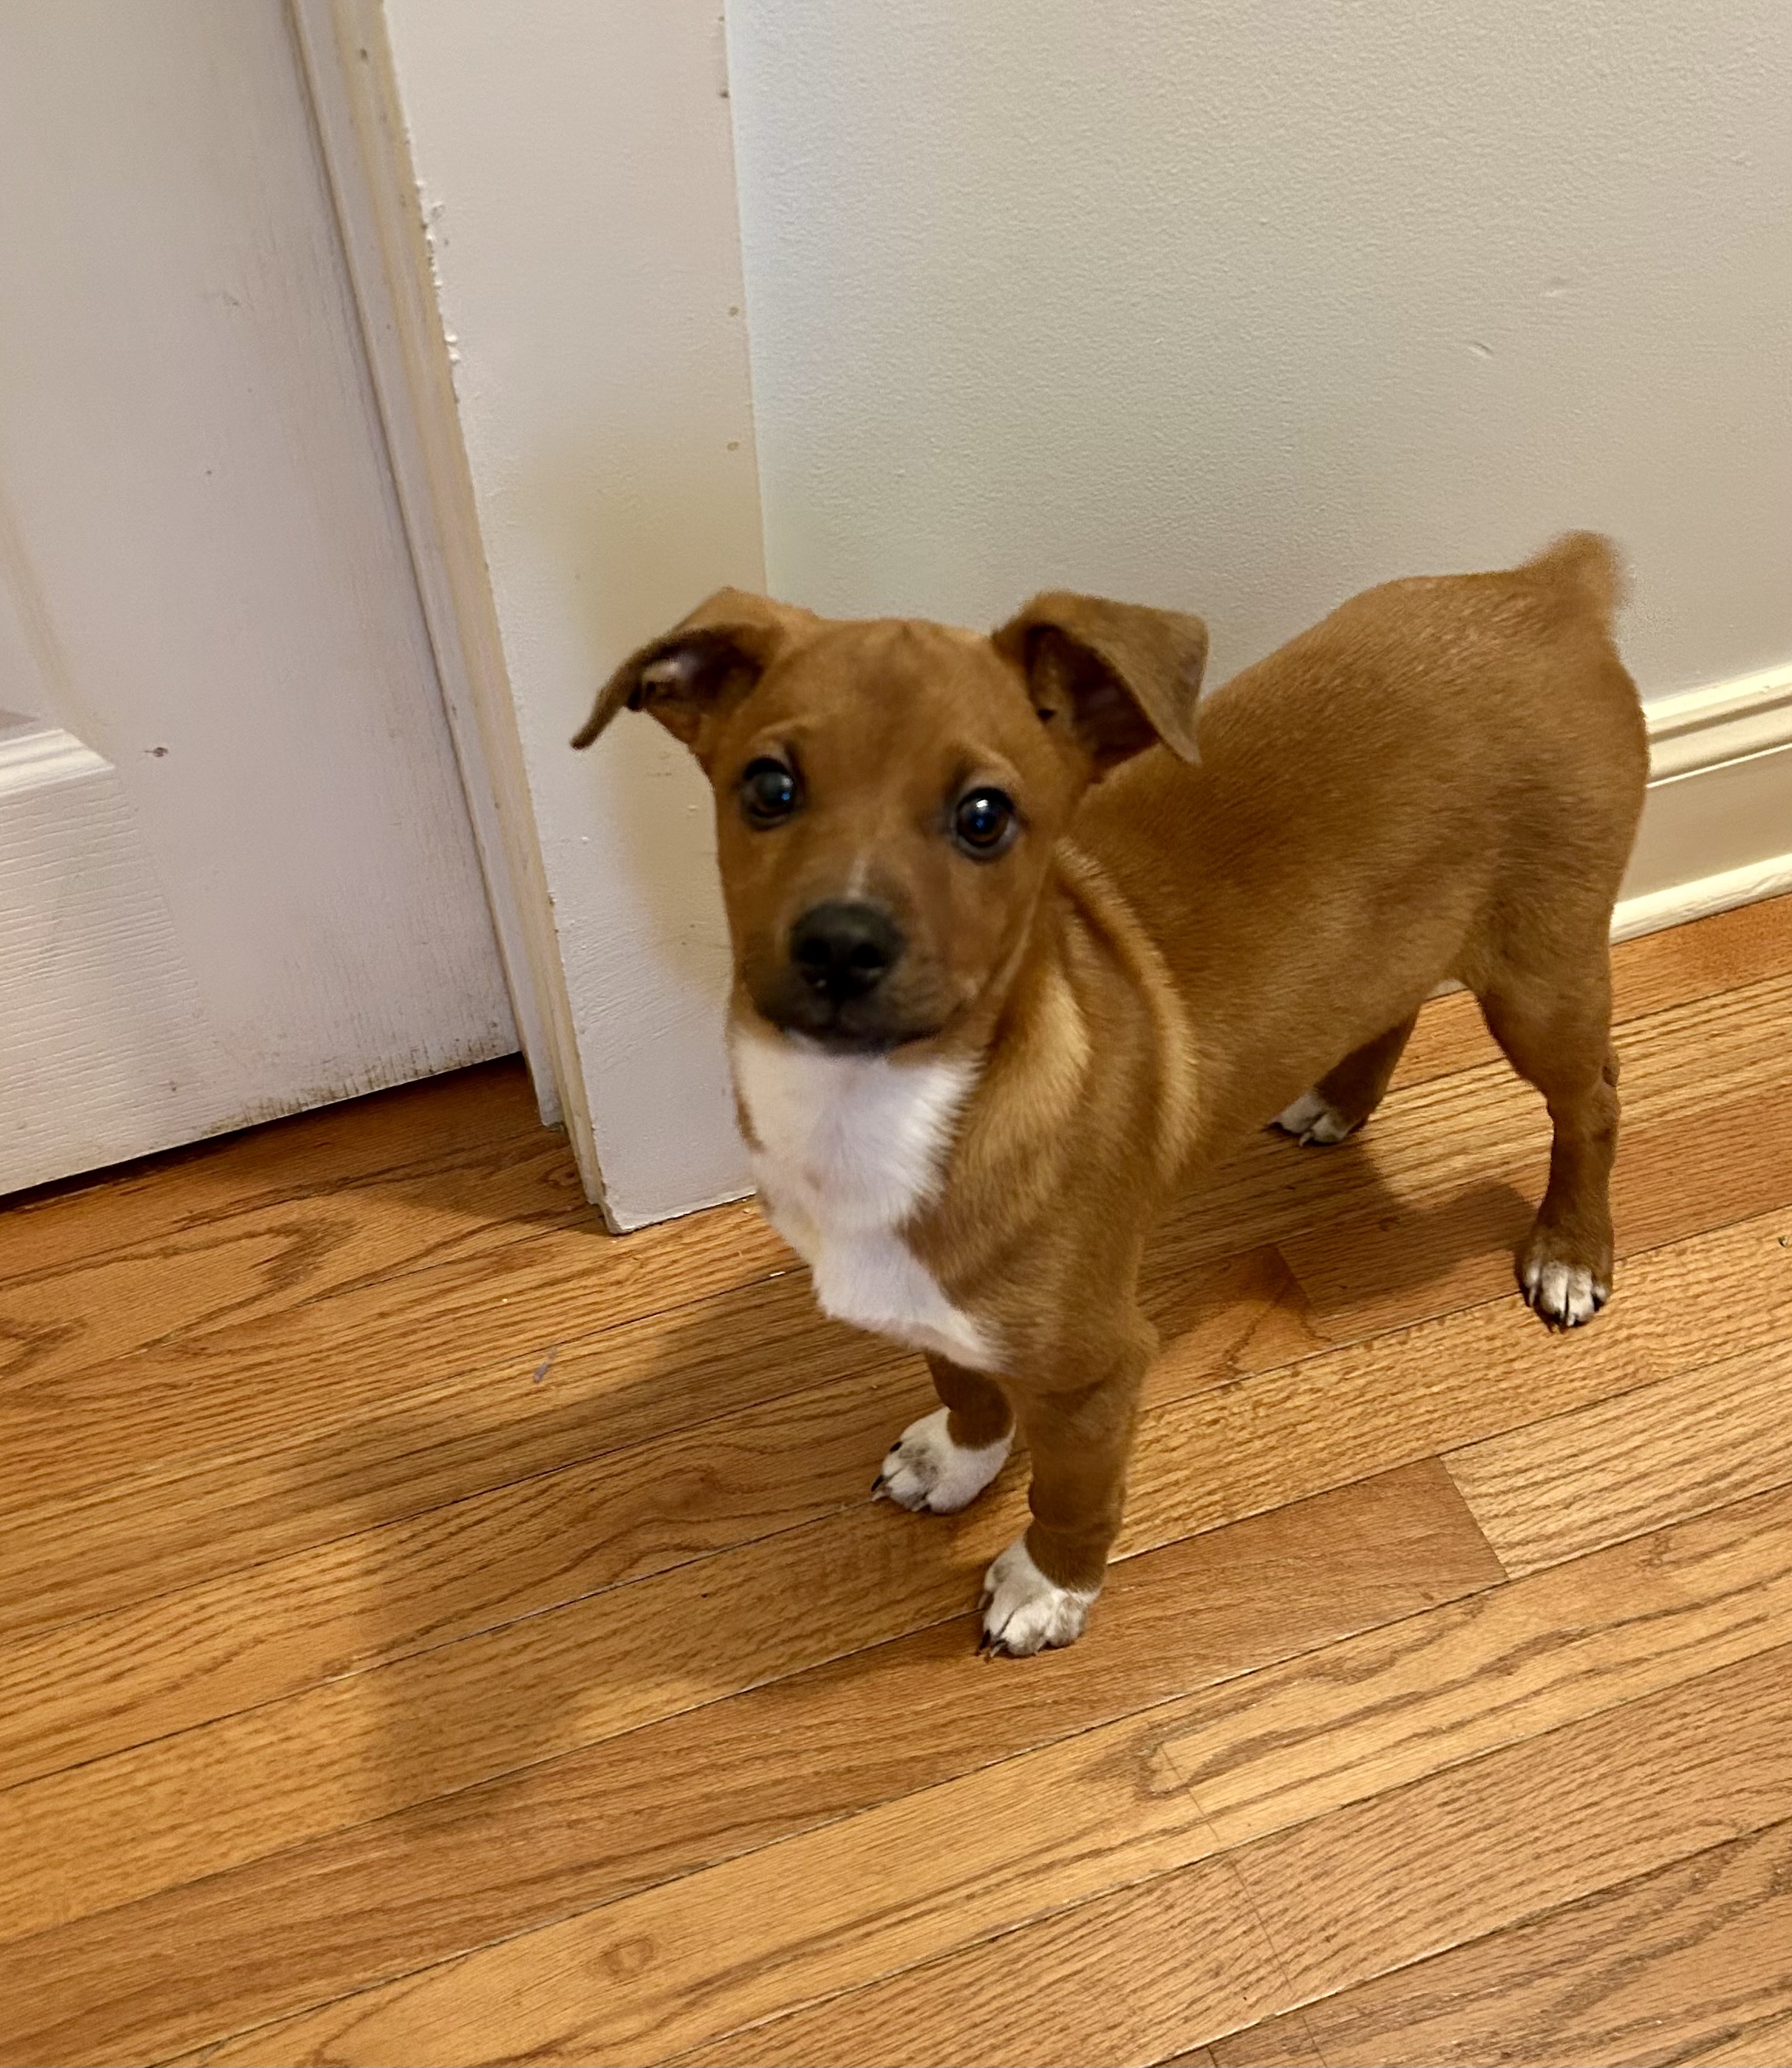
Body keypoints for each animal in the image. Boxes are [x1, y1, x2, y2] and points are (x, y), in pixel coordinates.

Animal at [578, 541, 1653, 1654]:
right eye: (768, 787)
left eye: (983, 816)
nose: (840, 943)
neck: (877, 1110)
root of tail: (1543, 587)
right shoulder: (929, 1304)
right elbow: (962, 1381)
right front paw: (957, 1457)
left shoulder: (1096, 1368)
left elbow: (1070, 1491)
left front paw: (1047, 1586)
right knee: (1390, 1005)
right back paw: (1339, 1099)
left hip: (1540, 980)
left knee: (1594, 1100)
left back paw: (1570, 1251)